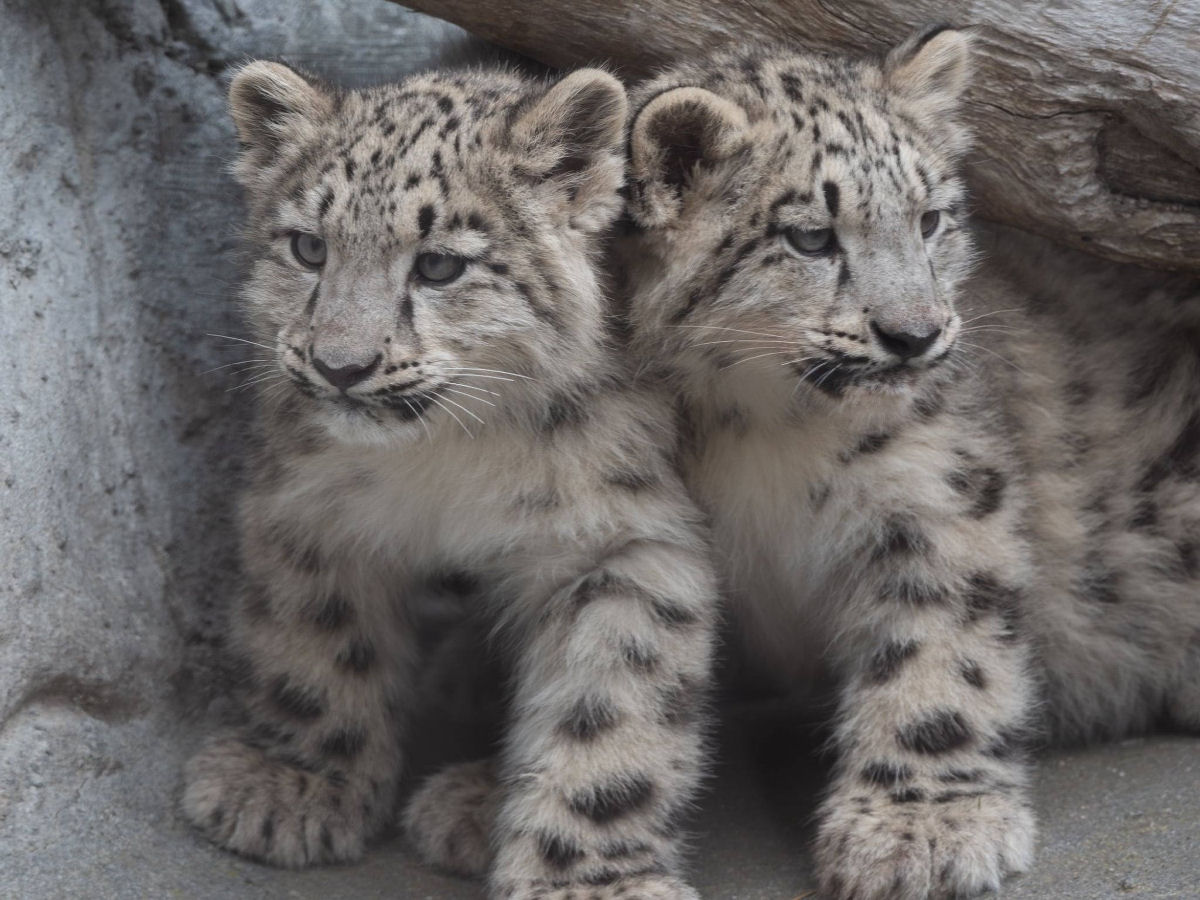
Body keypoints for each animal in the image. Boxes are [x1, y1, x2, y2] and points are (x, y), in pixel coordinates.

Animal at [179, 59, 719, 900]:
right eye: (308, 248)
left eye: (439, 264)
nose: (340, 365)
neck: (448, 458)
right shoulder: (307, 505)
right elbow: (317, 642)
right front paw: (292, 784)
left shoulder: (623, 543)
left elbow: (609, 709)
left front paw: (585, 879)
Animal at [407, 26, 1200, 900]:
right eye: (812, 237)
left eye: (930, 220)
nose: (917, 334)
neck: (756, 431)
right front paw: (484, 793)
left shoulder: (940, 491)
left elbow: (942, 650)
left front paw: (920, 828)